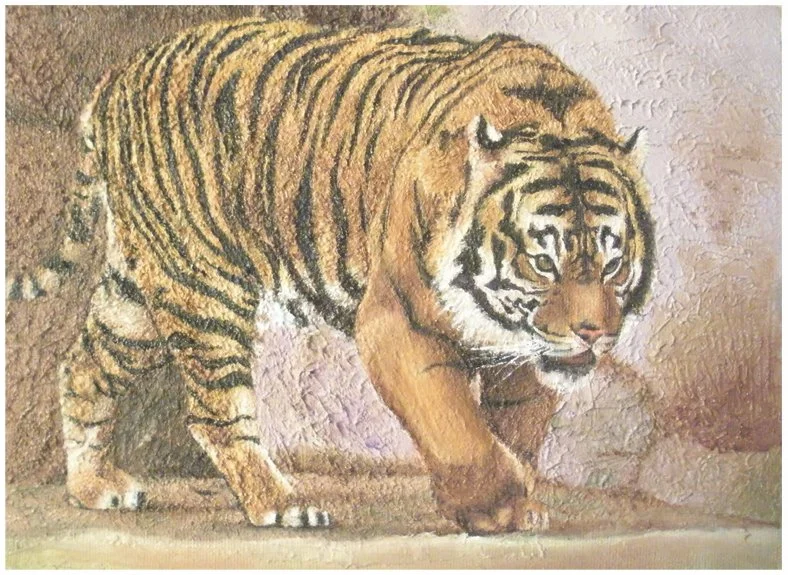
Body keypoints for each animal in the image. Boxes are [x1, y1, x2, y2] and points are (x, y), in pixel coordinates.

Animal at [7, 18, 654, 534]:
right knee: (213, 410)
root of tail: (117, 75)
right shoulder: (398, 324)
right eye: (543, 261)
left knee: (83, 365)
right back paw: (281, 504)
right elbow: (456, 428)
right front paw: (494, 507)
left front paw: (513, 494)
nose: (594, 333)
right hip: (204, 287)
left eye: (612, 261)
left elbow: (514, 423)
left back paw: (94, 488)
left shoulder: (524, 357)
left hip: (138, 296)